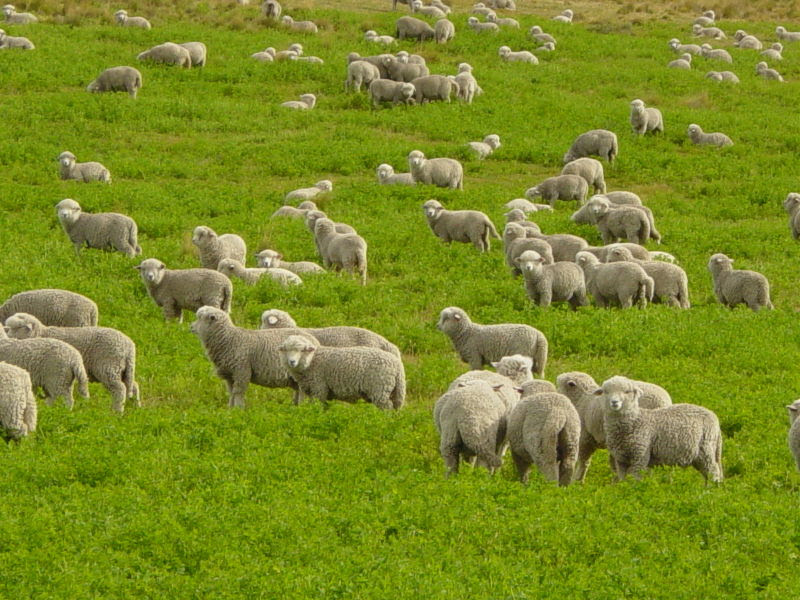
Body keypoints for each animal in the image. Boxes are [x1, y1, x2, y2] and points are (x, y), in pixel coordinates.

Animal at [5, 313, 139, 413]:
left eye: (17, 327)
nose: (6, 335)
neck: (40, 333)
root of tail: (129, 347)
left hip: (108, 367)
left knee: (120, 389)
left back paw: (117, 411)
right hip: (124, 370)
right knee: (132, 385)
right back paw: (135, 406)